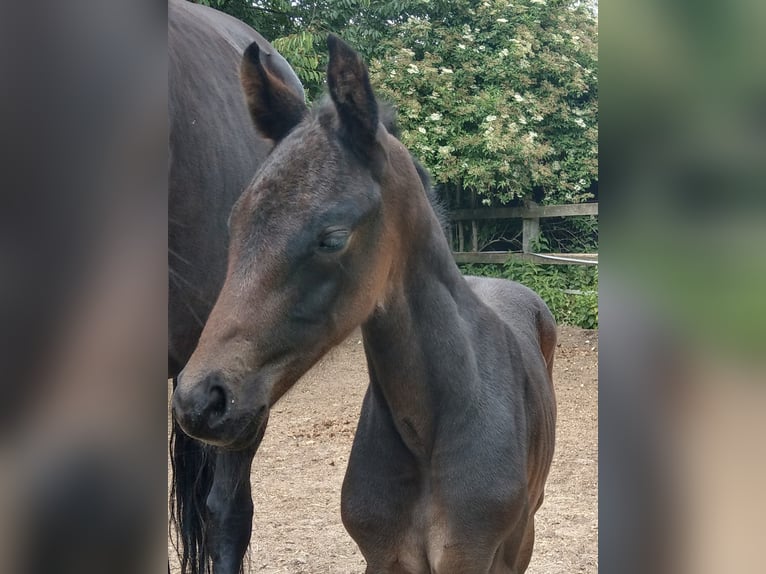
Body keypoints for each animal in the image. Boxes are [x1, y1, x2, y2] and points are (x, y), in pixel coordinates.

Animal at [174, 36, 560, 574]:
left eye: (333, 237)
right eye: (235, 221)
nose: (199, 401)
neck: (429, 429)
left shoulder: (481, 555)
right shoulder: (385, 557)